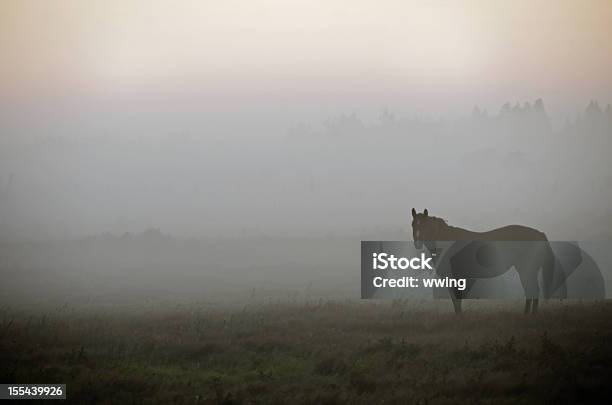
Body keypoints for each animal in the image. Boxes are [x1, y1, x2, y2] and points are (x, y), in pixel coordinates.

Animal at [412, 207, 560, 314]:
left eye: (425, 226)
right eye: (413, 225)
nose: (417, 244)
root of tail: (539, 233)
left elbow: (457, 299)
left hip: (526, 269)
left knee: (532, 289)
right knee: (531, 289)